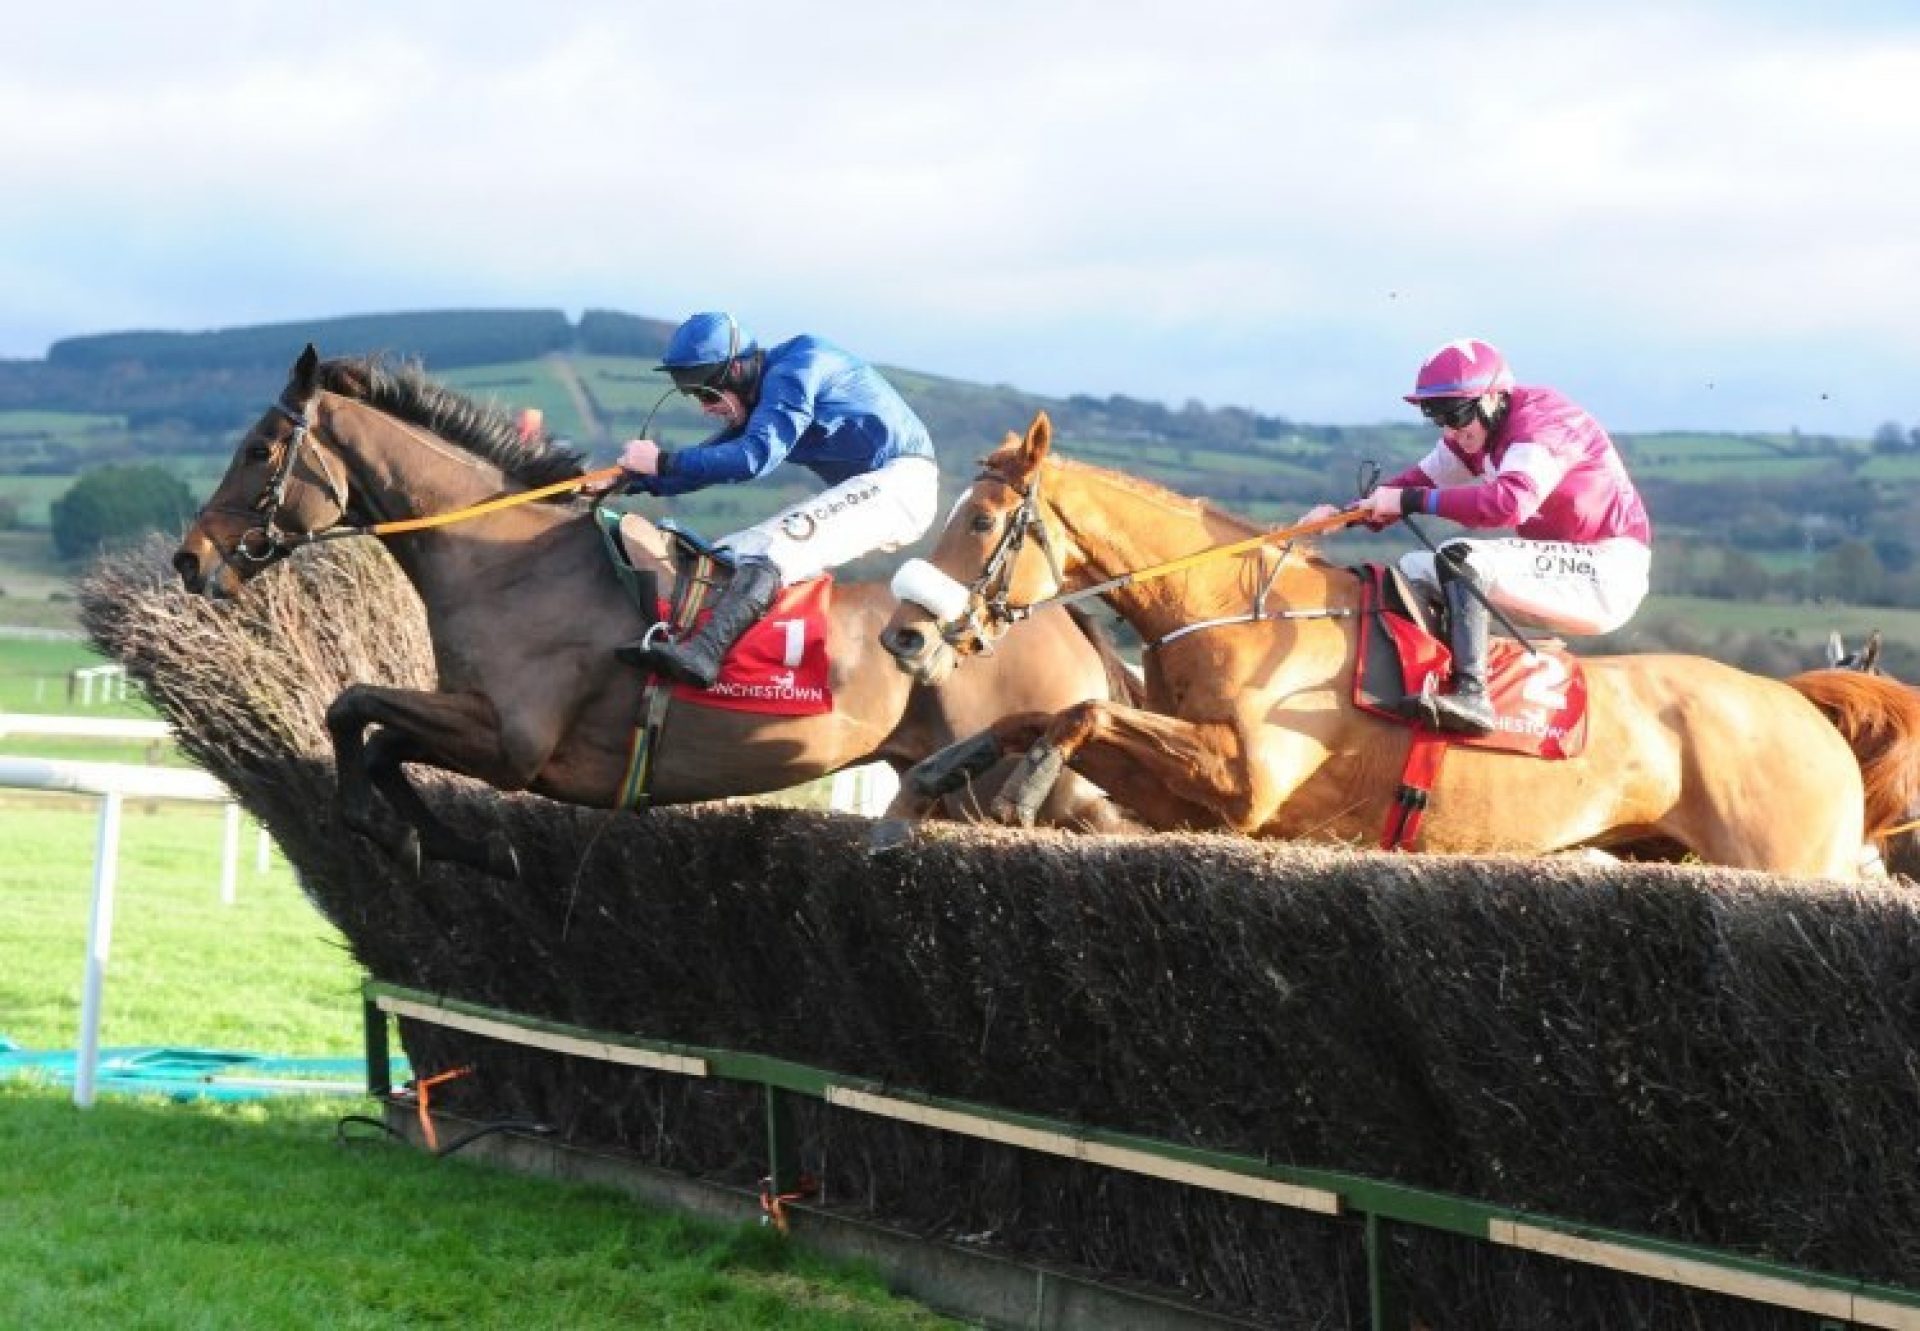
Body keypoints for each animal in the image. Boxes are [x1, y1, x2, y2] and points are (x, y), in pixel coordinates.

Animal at [172, 347, 1128, 875]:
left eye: (259, 448)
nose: (191, 558)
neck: (509, 560)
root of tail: (1043, 612)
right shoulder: (484, 723)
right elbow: (378, 741)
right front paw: (453, 845)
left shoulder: (515, 741)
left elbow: (353, 708)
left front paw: (389, 829)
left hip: (1011, 782)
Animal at [879, 411, 1920, 875]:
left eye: (981, 521)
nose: (903, 633)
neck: (1240, 614)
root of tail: (1804, 709)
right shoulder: (1193, 802)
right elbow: (1038, 712)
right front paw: (924, 788)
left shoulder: (1243, 786)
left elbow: (1082, 708)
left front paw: (1018, 793)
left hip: (1787, 860)